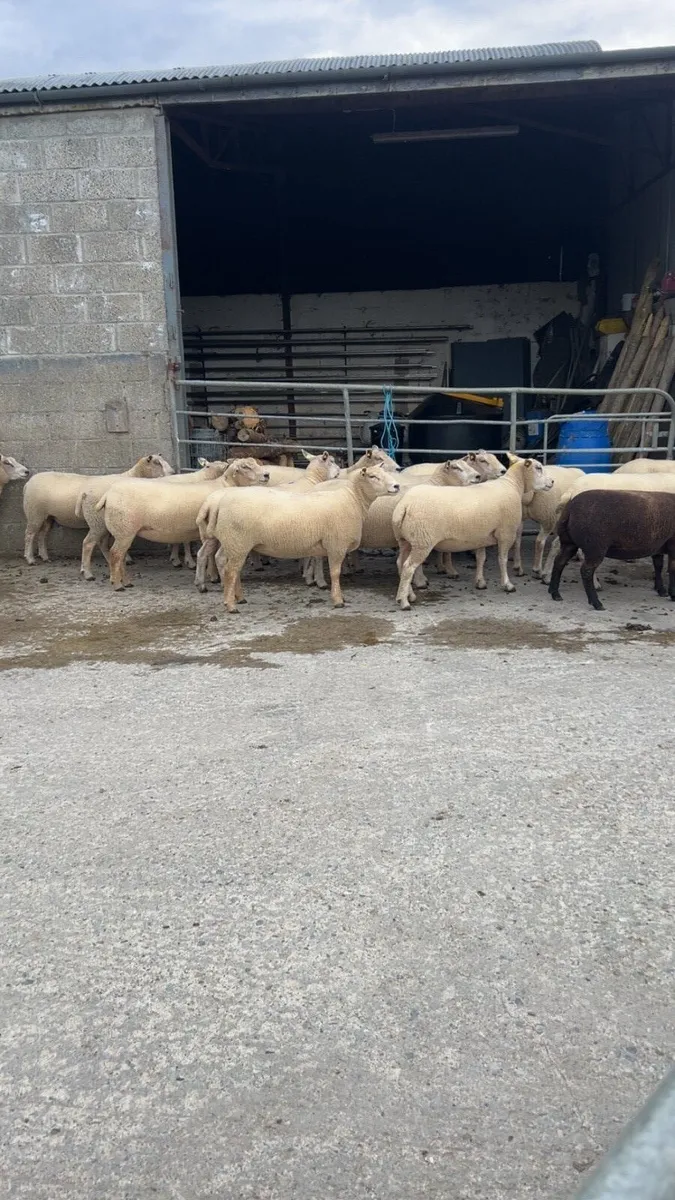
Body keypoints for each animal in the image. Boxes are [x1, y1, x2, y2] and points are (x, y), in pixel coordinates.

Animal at [23, 454, 173, 566]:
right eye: (157, 463)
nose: (173, 472)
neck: (132, 476)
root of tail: (28, 483)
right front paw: (127, 558)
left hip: (48, 516)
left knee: (42, 535)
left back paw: (44, 557)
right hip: (34, 513)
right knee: (30, 534)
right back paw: (30, 558)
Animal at [89, 458, 269, 589]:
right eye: (245, 467)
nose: (267, 475)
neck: (226, 485)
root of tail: (108, 495)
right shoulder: (207, 531)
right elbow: (210, 554)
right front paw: (213, 576)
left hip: (124, 531)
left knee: (118, 555)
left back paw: (126, 581)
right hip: (124, 530)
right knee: (115, 555)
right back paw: (118, 584)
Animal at [200, 464, 401, 612]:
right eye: (373, 476)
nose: (396, 486)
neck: (353, 500)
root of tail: (220, 502)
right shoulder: (336, 545)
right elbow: (335, 573)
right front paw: (338, 600)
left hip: (232, 541)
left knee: (224, 562)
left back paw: (238, 598)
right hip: (238, 542)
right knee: (231, 570)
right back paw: (231, 605)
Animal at [393, 457, 553, 609]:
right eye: (538, 468)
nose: (552, 481)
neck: (513, 485)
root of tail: (405, 505)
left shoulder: (481, 536)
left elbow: (481, 559)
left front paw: (480, 582)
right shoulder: (505, 533)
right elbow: (502, 559)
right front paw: (507, 584)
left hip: (406, 540)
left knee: (400, 563)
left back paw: (406, 596)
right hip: (423, 542)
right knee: (408, 568)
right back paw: (405, 603)